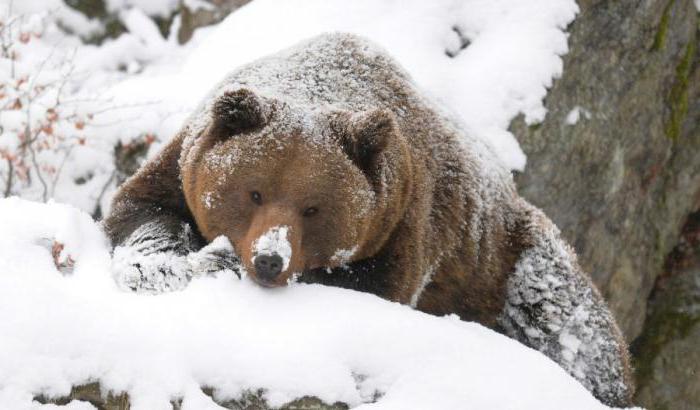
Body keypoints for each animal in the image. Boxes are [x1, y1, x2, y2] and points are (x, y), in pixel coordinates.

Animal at [103, 33, 634, 406]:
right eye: (254, 192)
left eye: (313, 207)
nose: (270, 259)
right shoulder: (181, 164)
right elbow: (141, 210)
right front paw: (159, 265)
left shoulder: (403, 222)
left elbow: (369, 286)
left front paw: (218, 262)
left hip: (507, 260)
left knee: (570, 326)